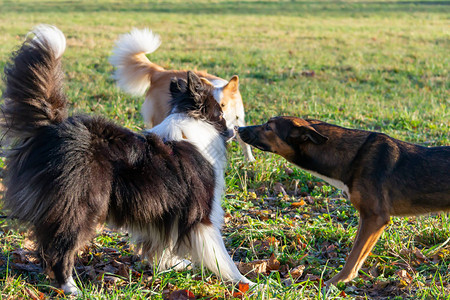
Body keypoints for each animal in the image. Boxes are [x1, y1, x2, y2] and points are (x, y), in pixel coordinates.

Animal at [237, 116, 448, 284]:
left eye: (268, 127)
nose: (238, 129)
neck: (354, 156)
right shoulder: (367, 218)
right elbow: (357, 254)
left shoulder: (375, 218)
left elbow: (353, 257)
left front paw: (336, 282)